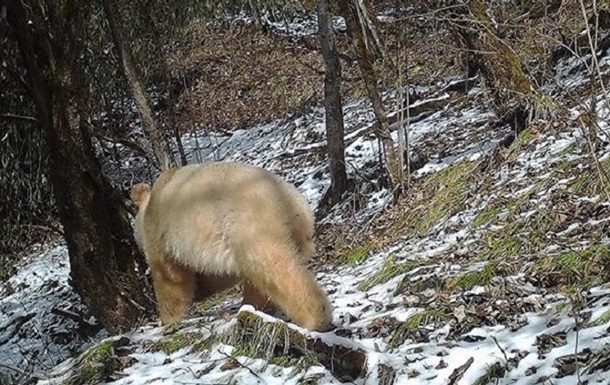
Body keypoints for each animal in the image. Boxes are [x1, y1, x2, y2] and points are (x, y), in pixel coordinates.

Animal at [129, 161, 332, 330]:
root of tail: (293, 203)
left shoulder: (161, 232)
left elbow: (170, 277)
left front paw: (168, 319)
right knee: (258, 277)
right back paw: (253, 307)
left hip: (251, 223)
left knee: (273, 266)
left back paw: (314, 318)